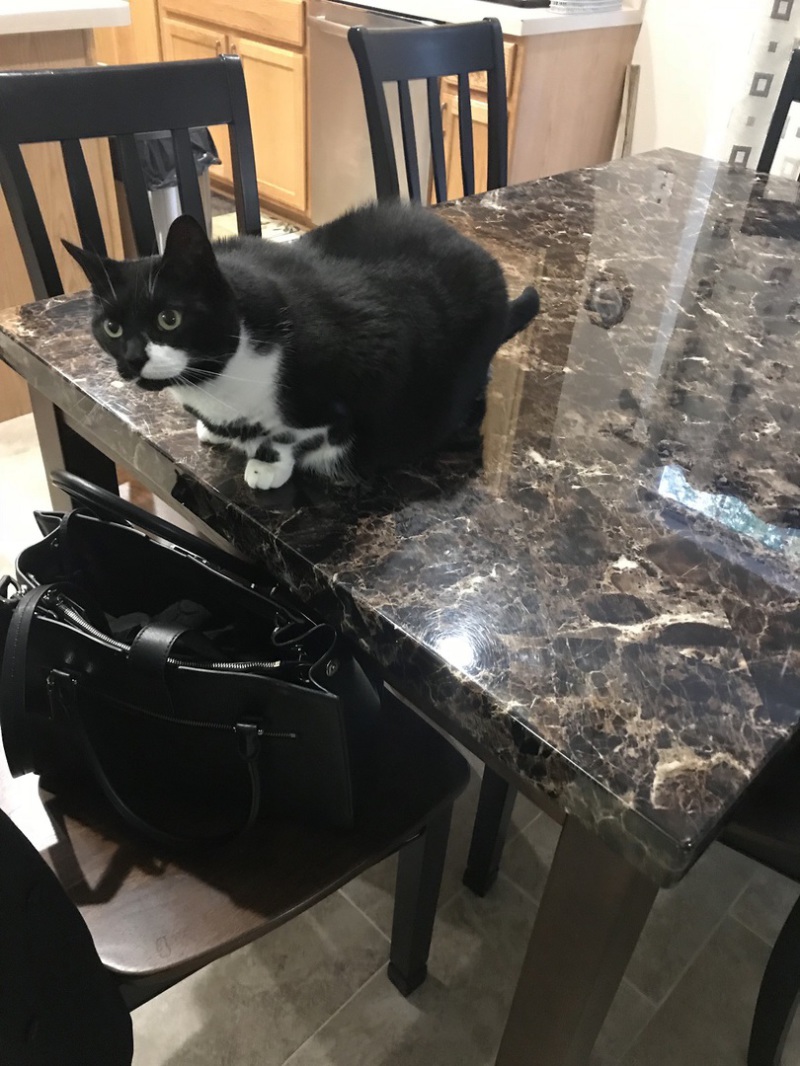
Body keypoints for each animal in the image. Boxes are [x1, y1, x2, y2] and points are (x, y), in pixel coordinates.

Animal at [64, 202, 539, 491]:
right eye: (111, 327)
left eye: (169, 319)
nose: (131, 359)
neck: (217, 382)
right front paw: (216, 433)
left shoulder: (361, 371)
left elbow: (294, 435)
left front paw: (266, 465)